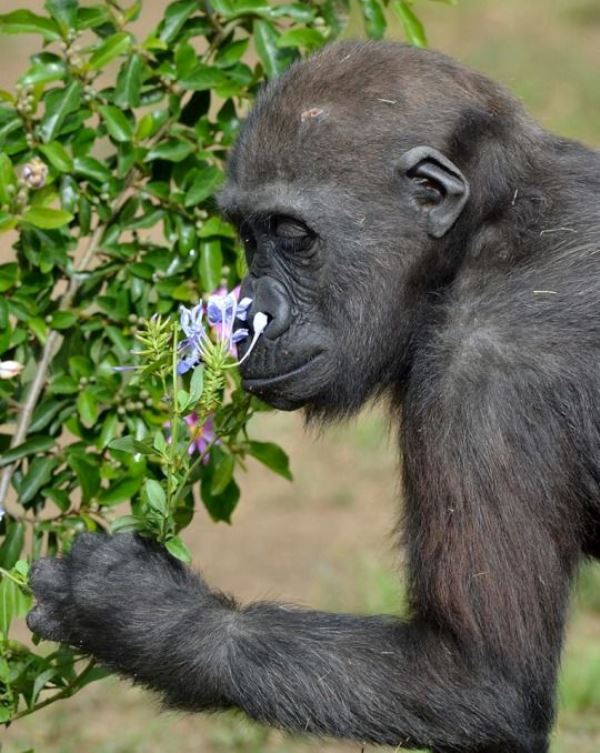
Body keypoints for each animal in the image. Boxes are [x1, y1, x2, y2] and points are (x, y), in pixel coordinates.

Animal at [27, 42, 600, 752]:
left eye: (293, 234)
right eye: (248, 234)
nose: (254, 308)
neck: (477, 238)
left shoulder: (489, 375)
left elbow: (478, 676)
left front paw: (138, 613)